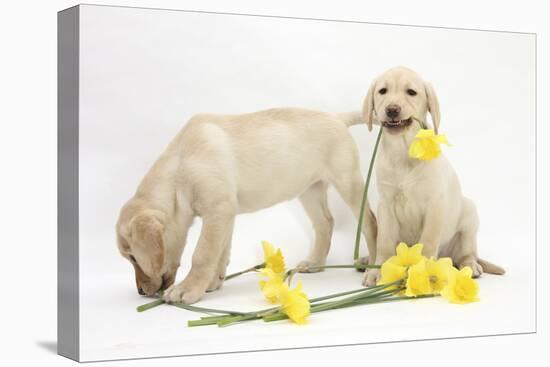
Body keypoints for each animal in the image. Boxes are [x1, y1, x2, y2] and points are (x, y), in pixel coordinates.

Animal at [116, 107, 380, 304]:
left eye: (134, 258)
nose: (141, 292)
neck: (180, 167)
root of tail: (337, 117)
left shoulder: (217, 210)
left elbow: (203, 253)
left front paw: (188, 289)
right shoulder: (225, 214)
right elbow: (221, 251)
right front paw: (213, 282)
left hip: (348, 182)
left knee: (370, 222)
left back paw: (373, 267)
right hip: (310, 190)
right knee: (325, 223)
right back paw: (315, 263)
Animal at [364, 67, 506, 288]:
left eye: (411, 92)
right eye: (382, 91)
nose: (392, 109)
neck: (403, 149)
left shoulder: (434, 204)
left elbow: (428, 241)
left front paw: (425, 273)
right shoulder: (385, 205)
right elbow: (384, 242)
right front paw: (378, 271)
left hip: (469, 215)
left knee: (467, 252)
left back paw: (470, 266)